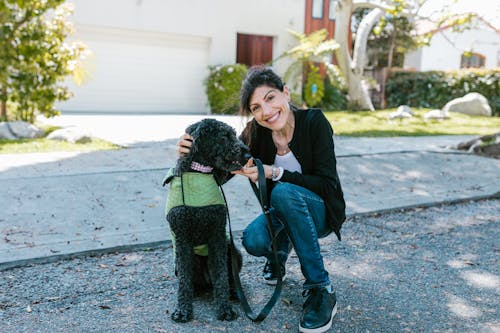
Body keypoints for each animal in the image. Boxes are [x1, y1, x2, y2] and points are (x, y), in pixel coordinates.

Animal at [164, 118, 250, 320]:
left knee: (229, 277)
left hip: (233, 251)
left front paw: (225, 309)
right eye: (224, 136)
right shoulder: (182, 240)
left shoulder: (217, 236)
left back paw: (235, 292)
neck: (199, 174)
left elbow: (221, 276)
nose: (247, 152)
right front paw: (183, 310)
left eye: (235, 134)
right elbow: (184, 280)